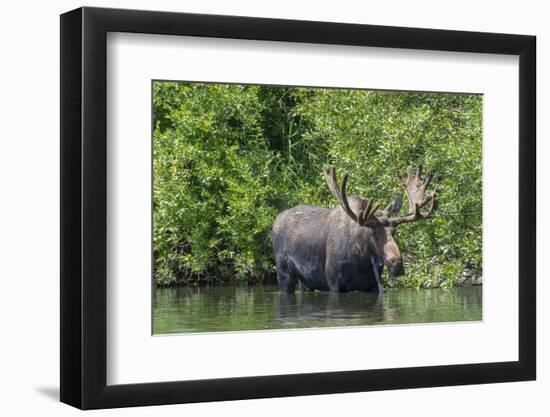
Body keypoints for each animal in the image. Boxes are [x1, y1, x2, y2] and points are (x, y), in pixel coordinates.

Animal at [272, 164, 440, 294]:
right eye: (373, 232)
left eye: (394, 231)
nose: (397, 264)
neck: (362, 257)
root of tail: (275, 221)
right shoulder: (333, 283)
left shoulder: (372, 286)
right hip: (284, 274)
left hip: (305, 281)